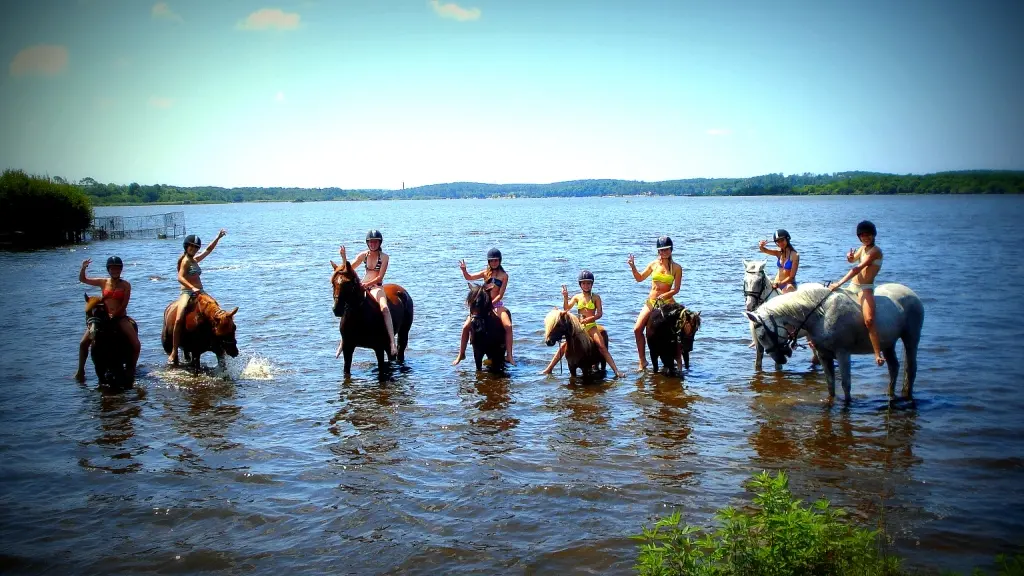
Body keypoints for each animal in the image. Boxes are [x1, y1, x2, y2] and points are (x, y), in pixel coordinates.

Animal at [744, 283, 924, 403]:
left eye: (762, 335)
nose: (779, 358)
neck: (820, 315)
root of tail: (912, 293)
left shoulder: (843, 353)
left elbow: (846, 384)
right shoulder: (823, 355)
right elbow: (830, 385)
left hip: (911, 337)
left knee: (911, 369)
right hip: (888, 343)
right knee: (894, 368)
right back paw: (890, 395)